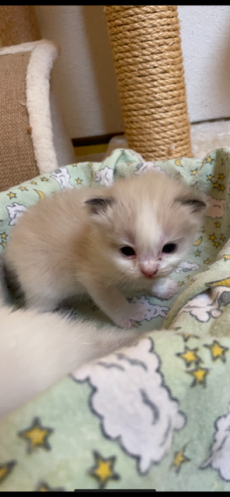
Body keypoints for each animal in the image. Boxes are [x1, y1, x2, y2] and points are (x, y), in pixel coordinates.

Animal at [2, 170, 206, 330]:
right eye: (126, 251)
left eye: (169, 248)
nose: (148, 270)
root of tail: (11, 249)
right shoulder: (92, 278)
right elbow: (112, 299)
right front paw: (128, 313)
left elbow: (157, 278)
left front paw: (162, 288)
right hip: (42, 286)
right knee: (35, 307)